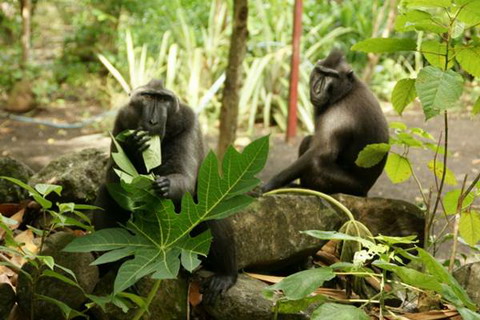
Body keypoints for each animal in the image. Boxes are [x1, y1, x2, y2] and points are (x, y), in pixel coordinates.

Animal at [93, 79, 237, 302]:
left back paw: (225, 275)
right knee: (106, 196)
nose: (153, 121)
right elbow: (113, 180)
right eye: (147, 96)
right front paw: (134, 146)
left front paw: (165, 185)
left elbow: (186, 180)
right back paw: (118, 268)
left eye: (163, 100)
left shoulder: (189, 124)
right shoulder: (121, 122)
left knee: (212, 212)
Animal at [262, 49, 390, 195]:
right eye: (320, 72)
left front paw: (272, 183)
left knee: (316, 164)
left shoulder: (339, 114)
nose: (317, 89)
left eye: (331, 75)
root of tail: (365, 191)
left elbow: (321, 151)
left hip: (349, 187)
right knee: (307, 139)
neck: (346, 91)